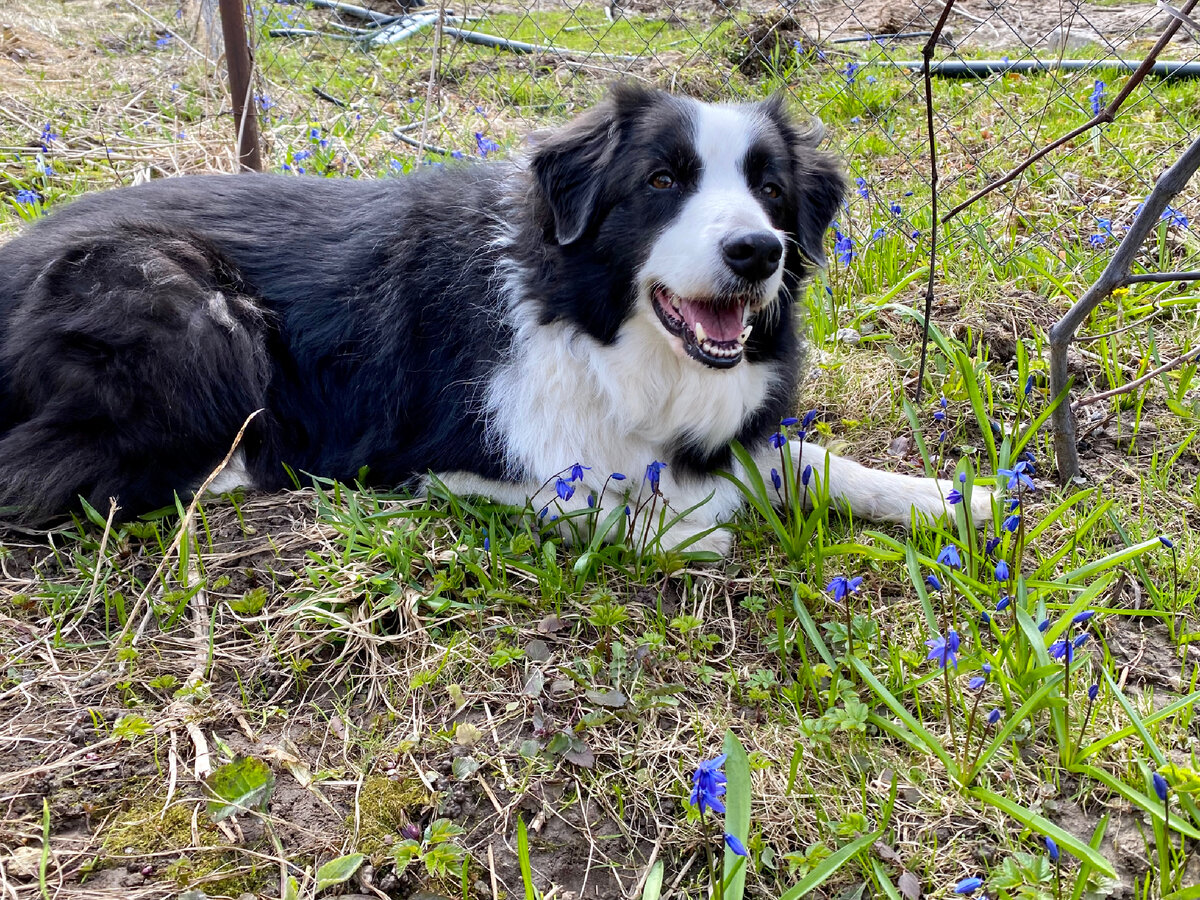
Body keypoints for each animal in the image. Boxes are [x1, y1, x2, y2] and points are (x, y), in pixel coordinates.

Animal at [0, 84, 979, 554]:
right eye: (662, 180)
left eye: (770, 190)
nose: (756, 253)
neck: (599, 335)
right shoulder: (446, 456)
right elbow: (609, 499)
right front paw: (688, 524)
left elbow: (808, 459)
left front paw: (950, 498)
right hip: (186, 302)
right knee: (47, 470)